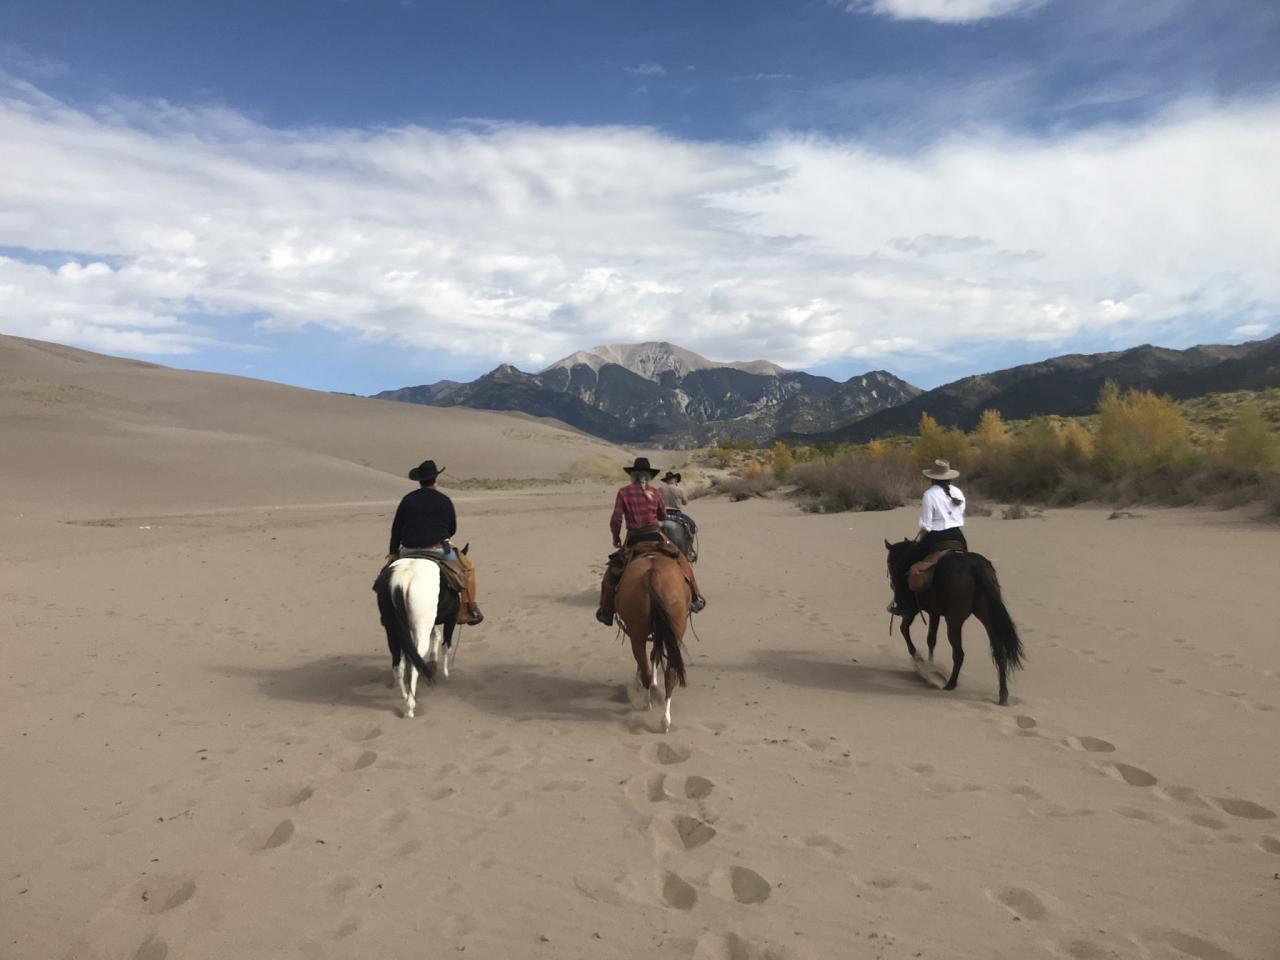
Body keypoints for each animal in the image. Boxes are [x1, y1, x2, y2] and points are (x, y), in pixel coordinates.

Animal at [373, 552, 468, 716]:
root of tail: (401, 579)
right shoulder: (451, 620)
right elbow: (445, 645)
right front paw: (445, 674)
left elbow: (435, 636)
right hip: (420, 628)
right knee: (415, 659)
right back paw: (410, 706)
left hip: (392, 630)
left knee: (398, 663)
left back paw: (405, 696)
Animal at [611, 552, 691, 732]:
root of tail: (652, 574)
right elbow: (655, 654)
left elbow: (653, 655)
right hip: (670, 629)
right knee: (669, 673)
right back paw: (662, 718)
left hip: (638, 633)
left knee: (651, 668)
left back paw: (651, 706)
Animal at [885, 542, 1024, 706]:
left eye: (889, 562)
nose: (892, 583)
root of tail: (975, 568)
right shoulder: (934, 612)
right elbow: (931, 639)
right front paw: (930, 665)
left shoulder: (914, 609)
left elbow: (905, 629)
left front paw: (921, 661)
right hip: (987, 617)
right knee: (999, 652)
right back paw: (1003, 695)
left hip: (954, 621)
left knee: (959, 653)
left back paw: (950, 684)